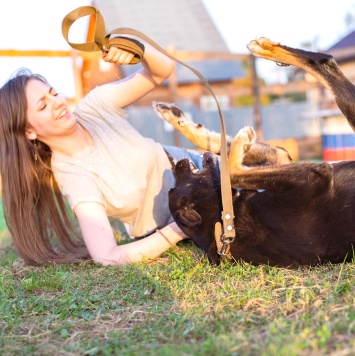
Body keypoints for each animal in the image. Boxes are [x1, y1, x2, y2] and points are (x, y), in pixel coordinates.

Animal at [155, 37, 355, 268]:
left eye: (176, 184)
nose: (175, 164)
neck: (225, 223)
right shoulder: (313, 177)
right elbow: (233, 171)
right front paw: (242, 138)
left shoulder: (281, 159)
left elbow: (224, 148)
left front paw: (180, 120)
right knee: (325, 62)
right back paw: (266, 48)